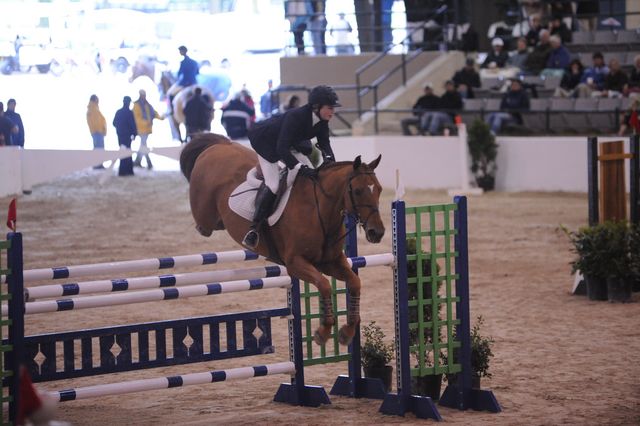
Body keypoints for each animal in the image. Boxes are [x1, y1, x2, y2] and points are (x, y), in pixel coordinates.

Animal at [179, 133, 385, 346]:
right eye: (358, 191)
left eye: (379, 189)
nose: (377, 232)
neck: (319, 209)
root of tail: (219, 145)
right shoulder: (295, 263)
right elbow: (324, 285)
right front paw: (323, 331)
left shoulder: (331, 262)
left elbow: (355, 282)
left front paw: (347, 331)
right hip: (205, 215)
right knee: (204, 225)